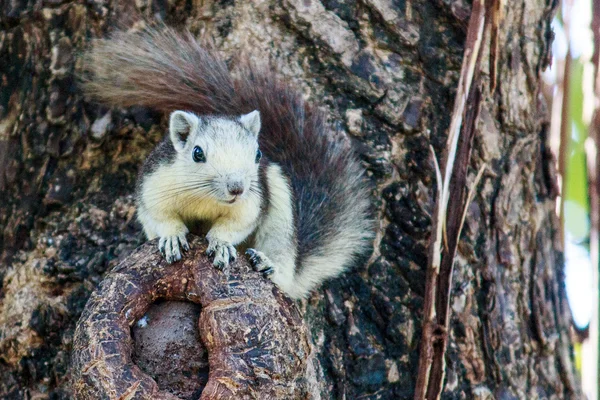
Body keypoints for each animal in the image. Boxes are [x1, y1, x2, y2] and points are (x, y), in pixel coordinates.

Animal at [82, 26, 372, 298]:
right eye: (197, 153)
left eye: (257, 154)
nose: (237, 188)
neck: (205, 200)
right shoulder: (154, 186)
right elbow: (159, 217)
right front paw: (173, 236)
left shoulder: (250, 205)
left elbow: (235, 225)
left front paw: (220, 243)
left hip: (280, 209)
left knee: (282, 266)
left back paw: (267, 264)